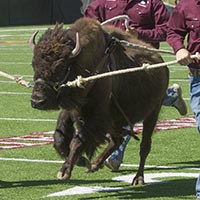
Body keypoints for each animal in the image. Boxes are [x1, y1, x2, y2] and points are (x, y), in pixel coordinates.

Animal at [30, 18, 169, 185]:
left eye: (61, 66)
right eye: (34, 64)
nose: (37, 100)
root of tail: (162, 64)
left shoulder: (96, 116)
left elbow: (78, 140)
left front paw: (64, 171)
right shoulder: (72, 109)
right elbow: (59, 139)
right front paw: (82, 161)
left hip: (152, 113)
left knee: (144, 146)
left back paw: (138, 178)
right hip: (116, 121)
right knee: (117, 140)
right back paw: (96, 164)